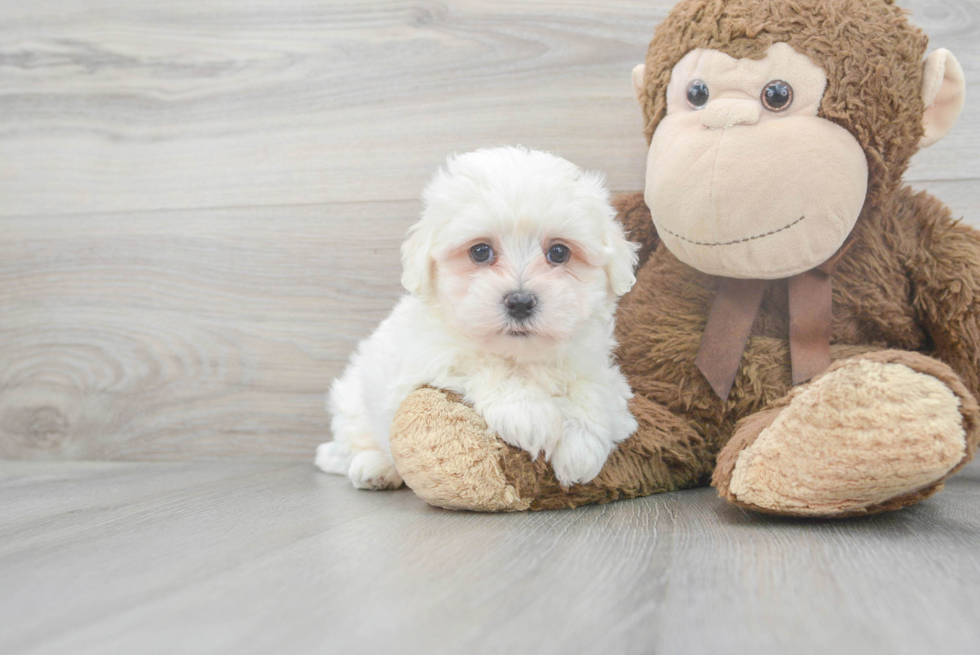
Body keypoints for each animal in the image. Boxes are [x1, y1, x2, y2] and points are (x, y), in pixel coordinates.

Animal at [318, 146, 644, 490]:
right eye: (480, 251)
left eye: (559, 252)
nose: (520, 302)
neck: (524, 355)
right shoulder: (431, 355)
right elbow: (482, 362)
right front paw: (529, 413)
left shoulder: (597, 366)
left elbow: (593, 389)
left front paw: (581, 443)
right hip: (354, 398)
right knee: (357, 438)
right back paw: (373, 467)